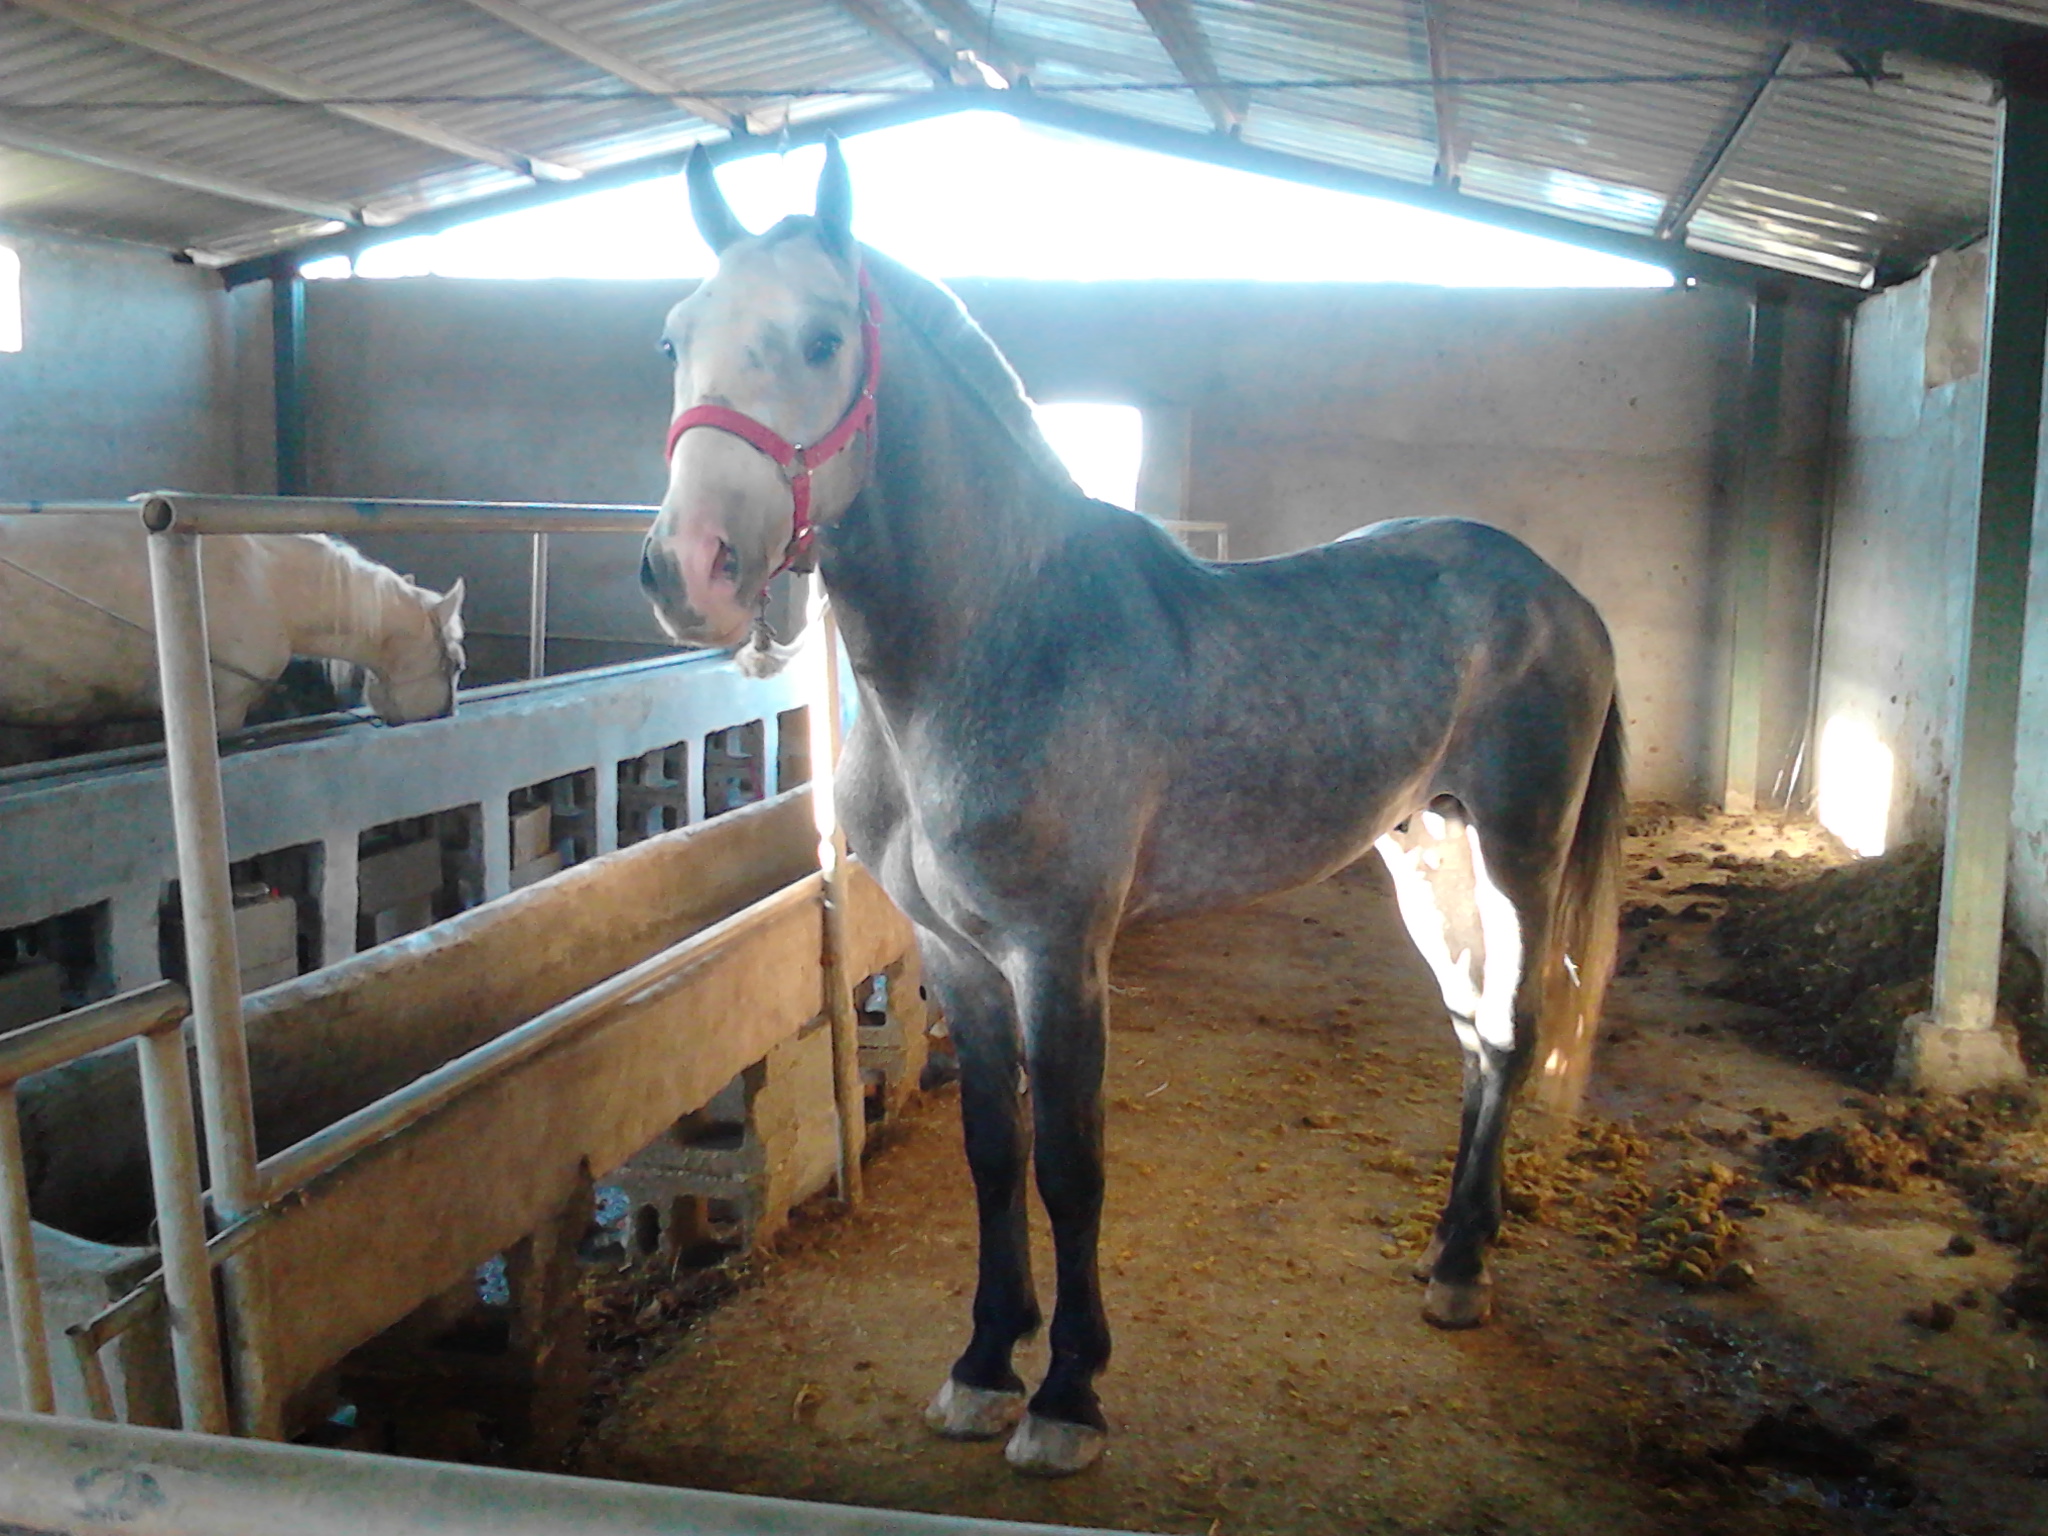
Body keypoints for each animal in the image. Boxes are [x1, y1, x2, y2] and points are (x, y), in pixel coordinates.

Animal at [634, 141, 1613, 1482]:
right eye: (675, 337)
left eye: (824, 337)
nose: (689, 569)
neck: (990, 640)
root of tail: (1559, 594)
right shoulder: (957, 956)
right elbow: (993, 1155)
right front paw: (982, 1366)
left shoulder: (1059, 955)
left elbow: (1070, 1164)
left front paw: (1065, 1399)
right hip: (1429, 854)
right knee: (1472, 1037)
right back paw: (1446, 1245)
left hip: (1518, 853)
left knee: (1511, 1030)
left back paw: (1462, 1275)